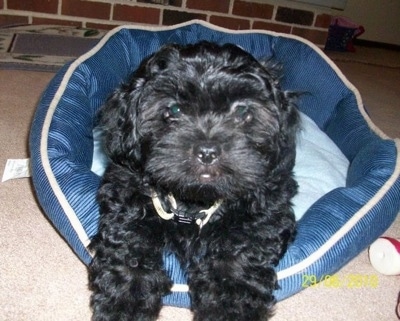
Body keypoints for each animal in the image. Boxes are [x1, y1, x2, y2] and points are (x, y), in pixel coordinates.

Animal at [89, 41, 298, 318]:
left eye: (242, 111)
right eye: (174, 109)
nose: (207, 151)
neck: (194, 200)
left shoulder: (264, 213)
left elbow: (238, 259)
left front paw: (231, 309)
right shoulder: (126, 193)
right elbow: (129, 249)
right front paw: (124, 305)